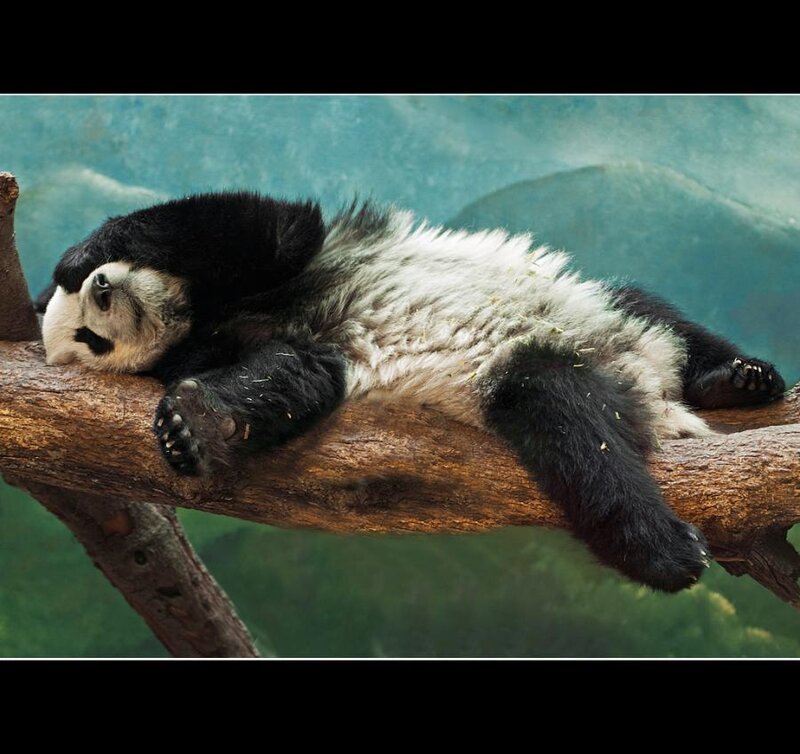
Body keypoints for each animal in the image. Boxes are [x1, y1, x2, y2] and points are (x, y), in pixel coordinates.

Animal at [38, 192, 786, 594]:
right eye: (90, 340)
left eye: (88, 306)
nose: (103, 289)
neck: (195, 315)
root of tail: (652, 392)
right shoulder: (231, 346)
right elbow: (301, 374)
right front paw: (192, 427)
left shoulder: (264, 264)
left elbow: (261, 226)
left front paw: (81, 252)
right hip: (537, 374)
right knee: (571, 427)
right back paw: (665, 550)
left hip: (599, 309)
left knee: (656, 313)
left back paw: (738, 381)